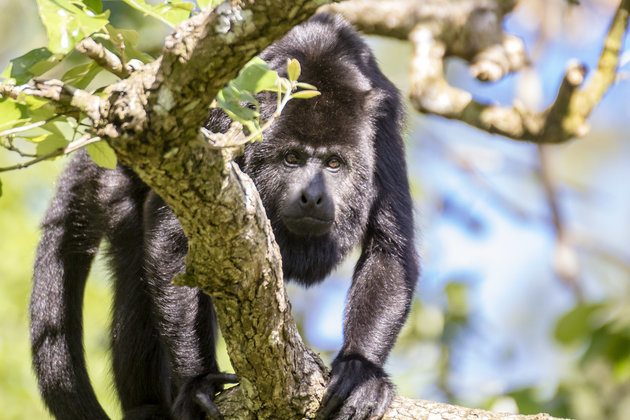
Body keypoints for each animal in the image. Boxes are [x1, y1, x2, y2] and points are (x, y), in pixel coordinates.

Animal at [32, 13, 422, 420]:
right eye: (292, 158)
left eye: (334, 163)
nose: (313, 197)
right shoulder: (223, 114)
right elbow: (171, 238)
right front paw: (198, 382)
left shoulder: (383, 131)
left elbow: (391, 248)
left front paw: (361, 371)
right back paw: (147, 407)